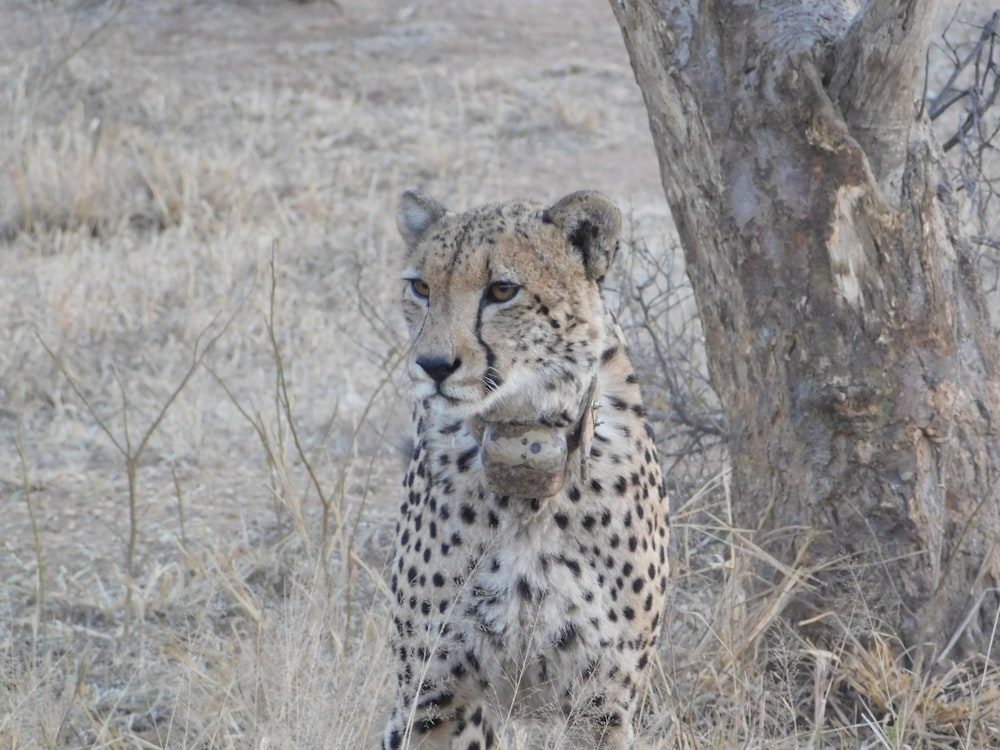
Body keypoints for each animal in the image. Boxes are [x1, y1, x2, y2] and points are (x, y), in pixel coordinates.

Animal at [384, 191, 672, 748]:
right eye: (421, 287)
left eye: (502, 290)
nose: (433, 366)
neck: (524, 451)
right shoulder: (434, 697)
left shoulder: (601, 705)